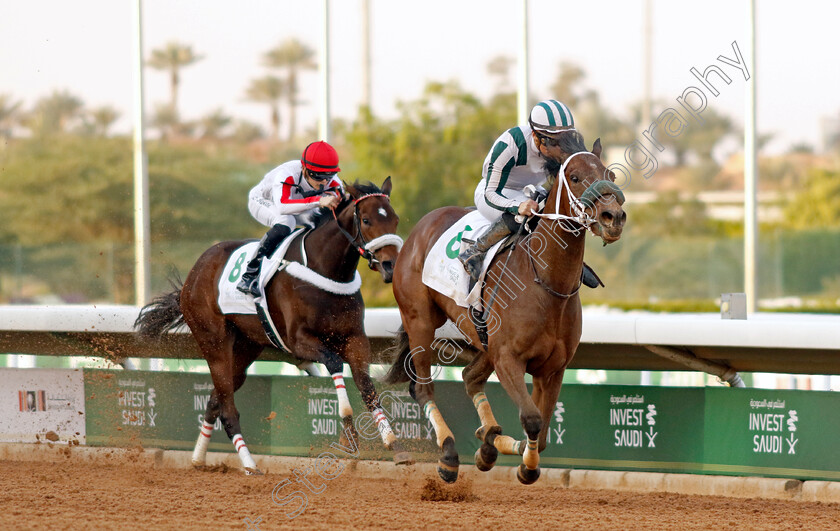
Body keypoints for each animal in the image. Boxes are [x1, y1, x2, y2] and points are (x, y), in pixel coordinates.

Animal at [135, 178, 414, 474]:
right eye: (366, 219)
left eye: (395, 219)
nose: (390, 266)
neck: (325, 268)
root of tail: (193, 274)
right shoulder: (299, 340)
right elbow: (335, 363)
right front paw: (348, 434)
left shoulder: (355, 338)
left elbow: (366, 386)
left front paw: (394, 444)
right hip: (213, 342)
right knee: (227, 410)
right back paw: (249, 464)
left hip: (244, 349)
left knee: (214, 401)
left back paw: (199, 458)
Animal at [384, 137, 628, 486]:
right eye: (576, 177)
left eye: (611, 175)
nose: (613, 217)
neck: (545, 282)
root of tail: (420, 228)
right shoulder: (509, 359)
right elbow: (532, 419)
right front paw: (523, 465)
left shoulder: (552, 368)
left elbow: (541, 432)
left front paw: (498, 447)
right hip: (421, 320)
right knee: (422, 387)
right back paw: (449, 456)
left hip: (484, 339)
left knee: (470, 378)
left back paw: (488, 441)